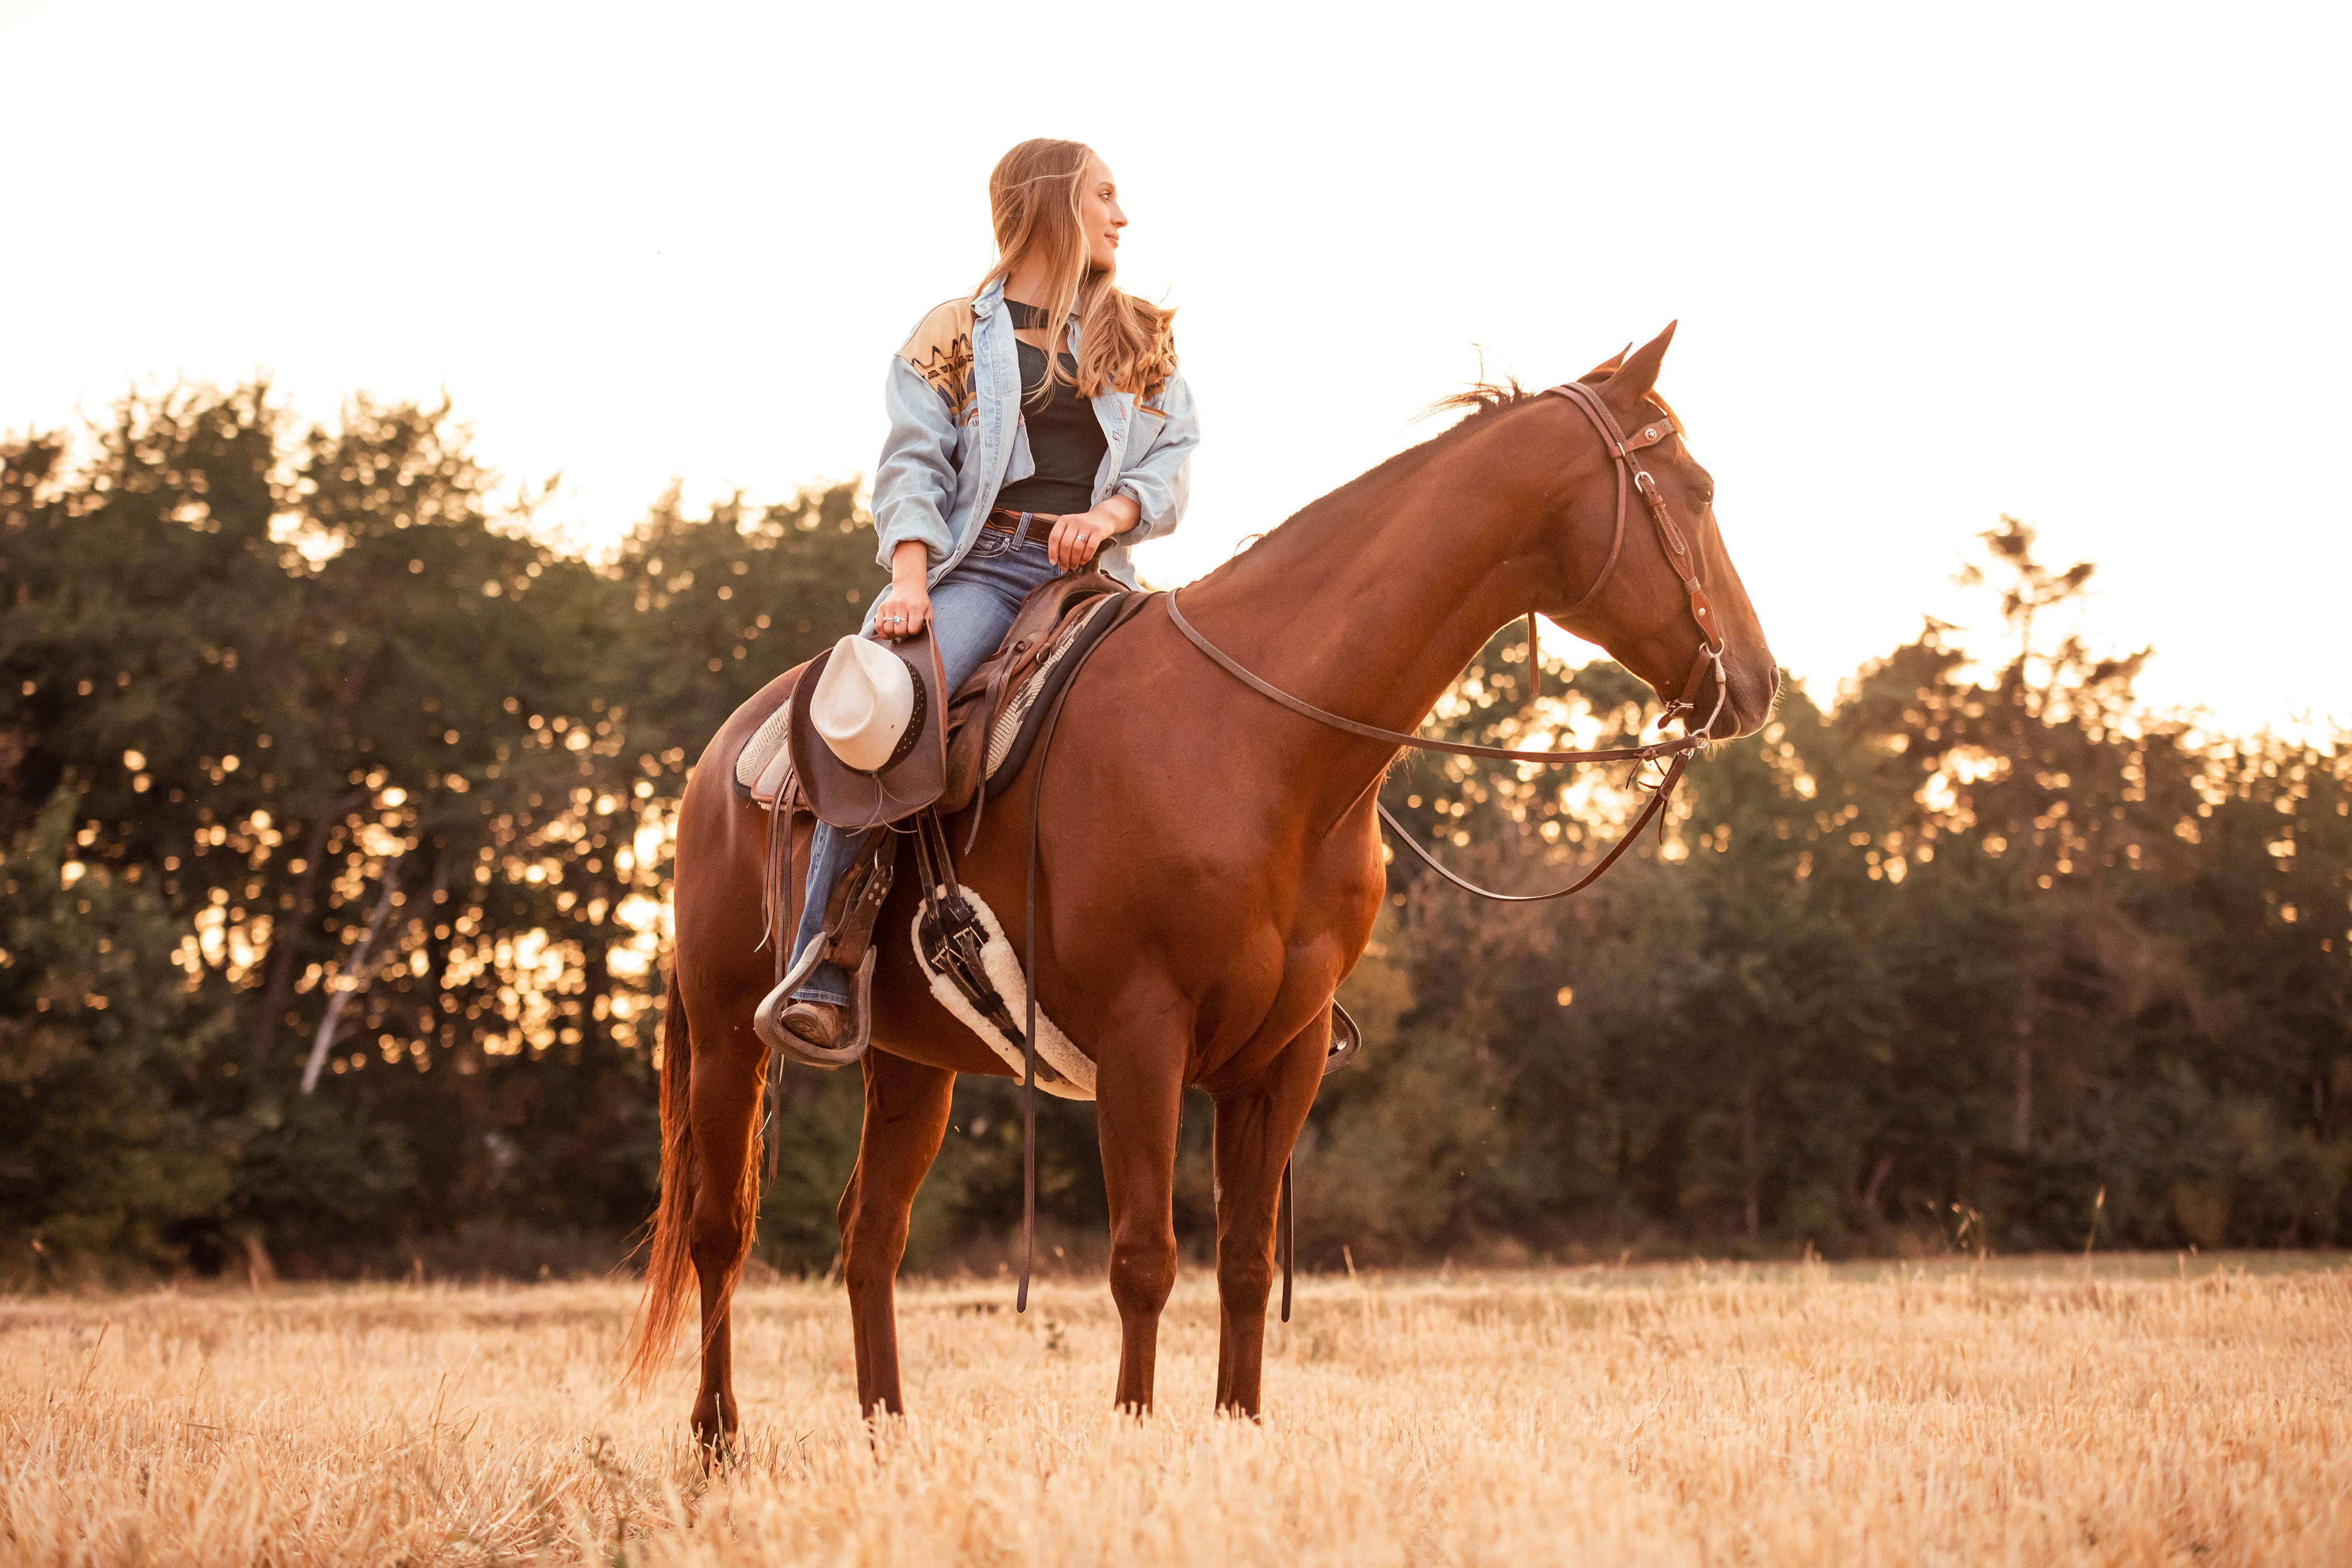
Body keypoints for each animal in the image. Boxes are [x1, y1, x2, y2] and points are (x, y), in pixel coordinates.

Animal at [624, 322, 1778, 1449]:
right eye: (1699, 487)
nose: (1759, 686)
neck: (1269, 742)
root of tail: (721, 757)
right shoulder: (1145, 1037)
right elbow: (1145, 1258)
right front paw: (1137, 1438)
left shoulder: (1283, 1056)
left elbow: (1246, 1263)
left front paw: (1237, 1431)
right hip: (727, 1034)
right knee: (721, 1233)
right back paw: (718, 1437)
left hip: (913, 1065)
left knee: (870, 1235)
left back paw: (886, 1437)